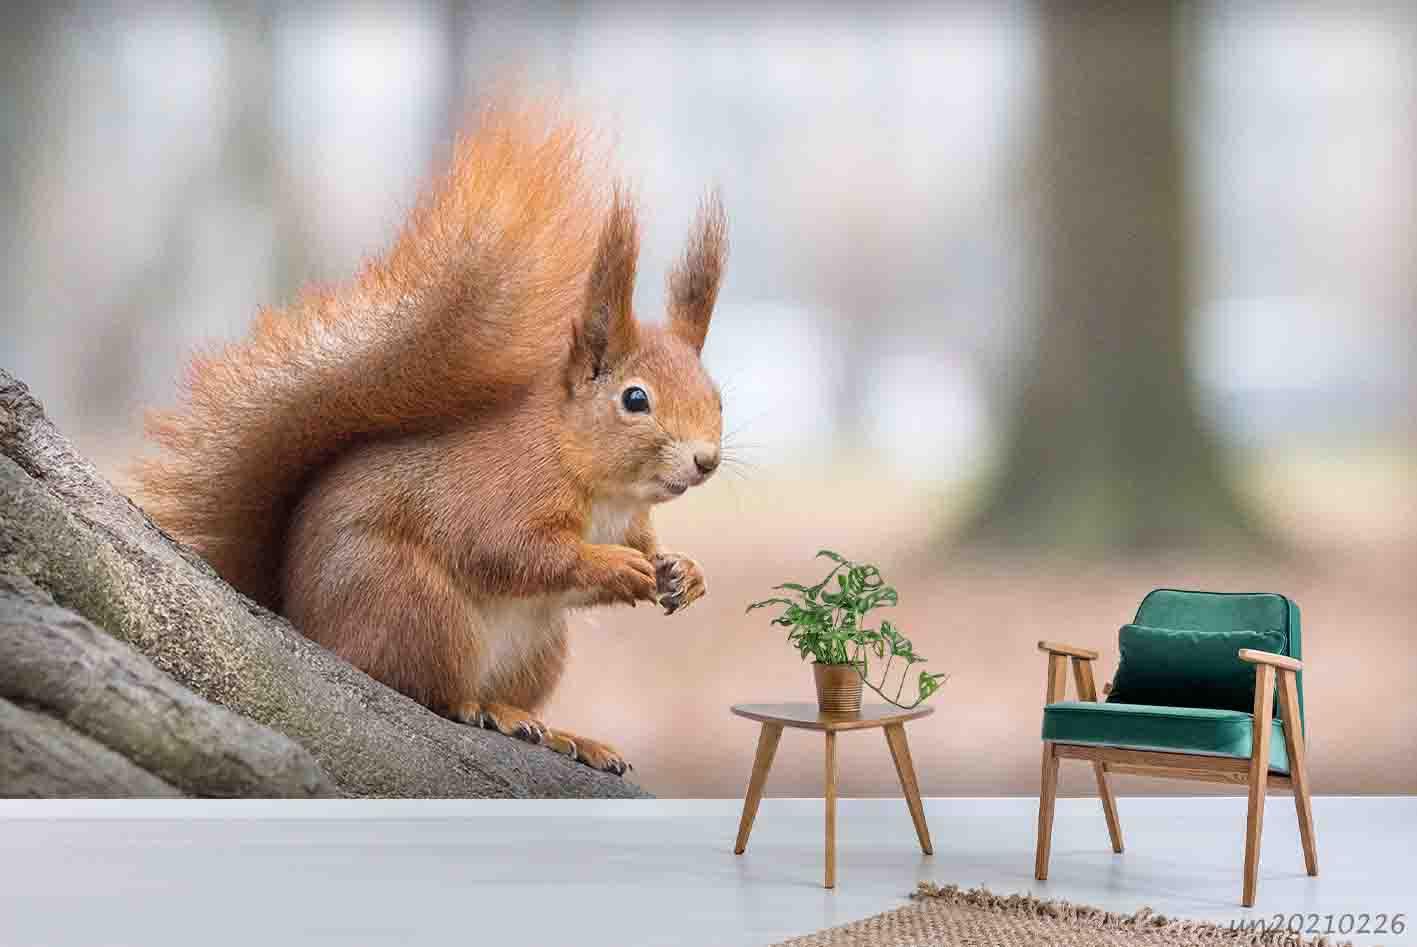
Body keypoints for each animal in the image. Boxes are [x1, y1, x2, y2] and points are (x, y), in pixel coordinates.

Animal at [134, 101, 727, 775]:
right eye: (635, 400)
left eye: (716, 394)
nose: (706, 460)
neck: (598, 483)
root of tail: (303, 620)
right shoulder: (501, 492)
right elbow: (512, 550)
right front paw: (613, 566)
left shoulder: (630, 520)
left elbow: (643, 550)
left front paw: (683, 570)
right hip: (415, 607)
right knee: (426, 689)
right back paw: (486, 710)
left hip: (538, 649)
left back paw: (565, 734)